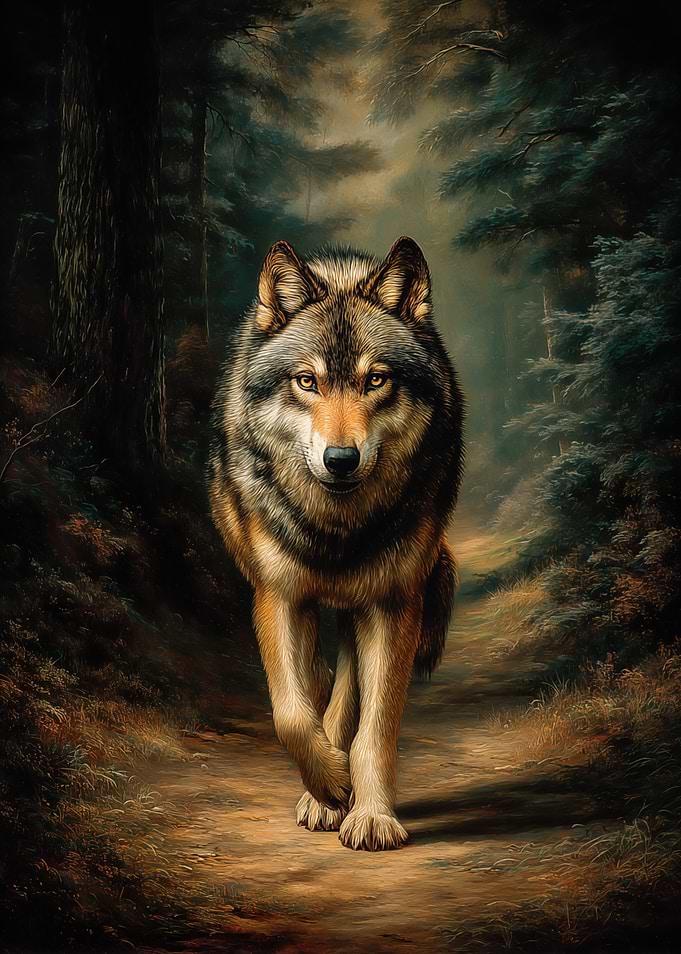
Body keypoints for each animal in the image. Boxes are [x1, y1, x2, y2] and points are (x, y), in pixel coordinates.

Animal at [208, 236, 464, 850]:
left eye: (376, 380)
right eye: (307, 381)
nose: (341, 459)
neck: (337, 530)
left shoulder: (394, 604)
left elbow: (375, 728)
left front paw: (369, 814)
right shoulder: (279, 596)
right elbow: (290, 715)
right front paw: (329, 785)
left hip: (369, 605)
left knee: (344, 692)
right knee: (318, 685)